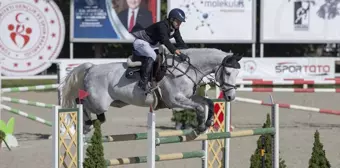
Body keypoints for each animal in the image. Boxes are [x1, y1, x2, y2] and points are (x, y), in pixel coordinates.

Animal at [60, 47, 242, 135]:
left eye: (237, 73)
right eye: (227, 73)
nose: (230, 96)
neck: (186, 68)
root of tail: (91, 68)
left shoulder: (188, 97)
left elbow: (207, 102)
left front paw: (208, 122)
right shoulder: (175, 100)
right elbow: (198, 107)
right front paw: (201, 126)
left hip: (103, 103)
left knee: (93, 112)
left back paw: (88, 126)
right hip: (99, 102)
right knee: (81, 103)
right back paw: (86, 126)